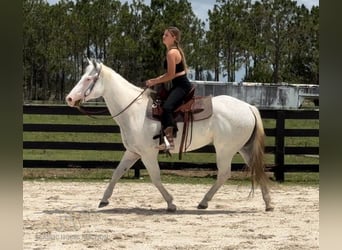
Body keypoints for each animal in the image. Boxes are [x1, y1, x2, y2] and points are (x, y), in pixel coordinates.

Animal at [65, 59, 274, 212]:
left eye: (88, 79)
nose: (69, 98)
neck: (134, 111)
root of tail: (248, 107)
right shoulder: (133, 152)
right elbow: (116, 173)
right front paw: (104, 200)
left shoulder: (148, 154)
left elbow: (156, 177)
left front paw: (171, 203)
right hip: (243, 148)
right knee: (256, 168)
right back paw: (268, 203)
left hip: (225, 149)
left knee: (224, 174)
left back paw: (204, 202)